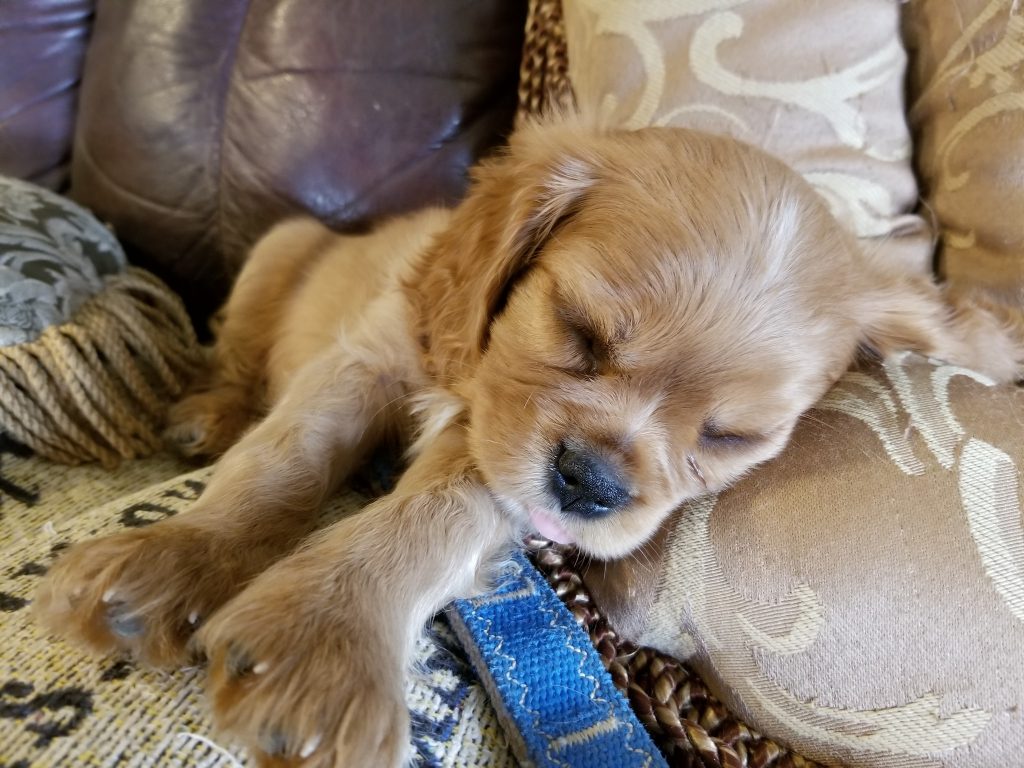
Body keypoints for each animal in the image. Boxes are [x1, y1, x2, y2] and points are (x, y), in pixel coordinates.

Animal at [35, 122, 1023, 767]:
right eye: (578, 332)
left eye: (729, 436)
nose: (589, 485)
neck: (468, 381)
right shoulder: (370, 358)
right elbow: (280, 462)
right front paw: (172, 556)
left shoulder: (498, 456)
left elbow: (430, 518)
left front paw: (326, 632)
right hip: (280, 246)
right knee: (238, 358)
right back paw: (206, 414)